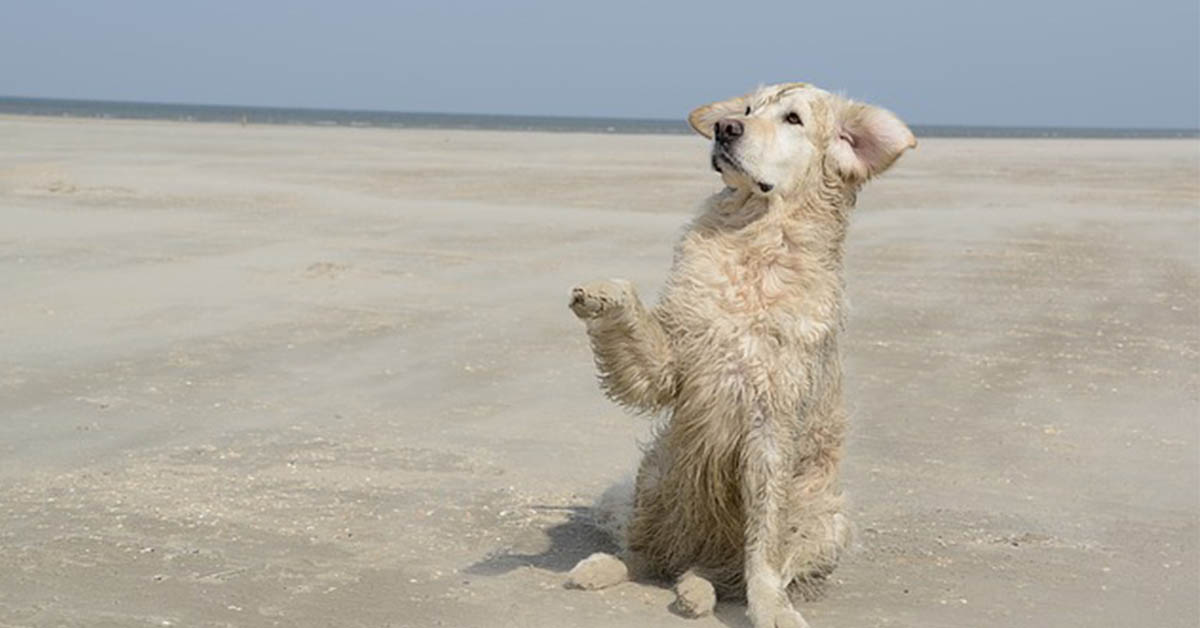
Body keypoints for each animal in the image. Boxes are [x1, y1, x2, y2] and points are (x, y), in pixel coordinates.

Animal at [566, 83, 912, 628]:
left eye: (793, 118)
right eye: (748, 109)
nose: (725, 128)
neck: (754, 238)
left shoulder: (772, 423)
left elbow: (764, 546)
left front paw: (771, 608)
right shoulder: (671, 368)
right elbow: (632, 310)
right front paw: (601, 293)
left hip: (827, 520)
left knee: (719, 572)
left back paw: (697, 591)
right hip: (659, 472)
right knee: (646, 551)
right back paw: (607, 568)